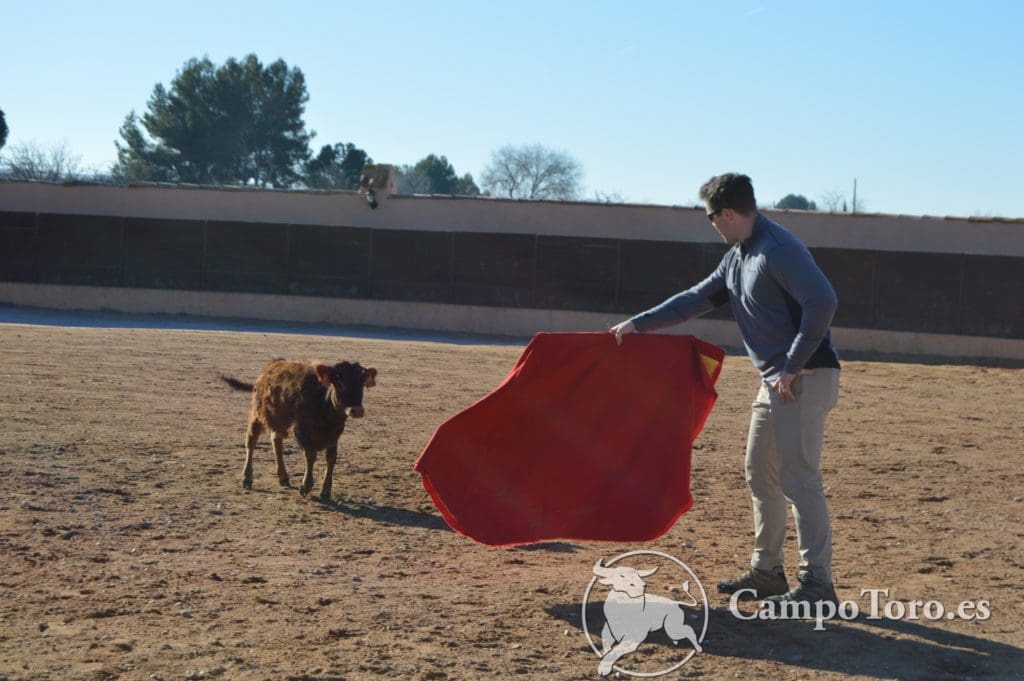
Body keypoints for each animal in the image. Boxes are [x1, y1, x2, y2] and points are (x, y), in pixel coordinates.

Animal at [220, 356, 376, 499]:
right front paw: (306, 486)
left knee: (276, 441)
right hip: (257, 415)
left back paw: (283, 477)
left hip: (279, 420)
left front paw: (325, 491)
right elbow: (311, 455)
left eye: (362, 384)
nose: (357, 410)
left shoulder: (335, 433)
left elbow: (331, 458)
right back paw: (247, 478)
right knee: (251, 442)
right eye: (339, 383)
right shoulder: (300, 430)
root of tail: (272, 365)